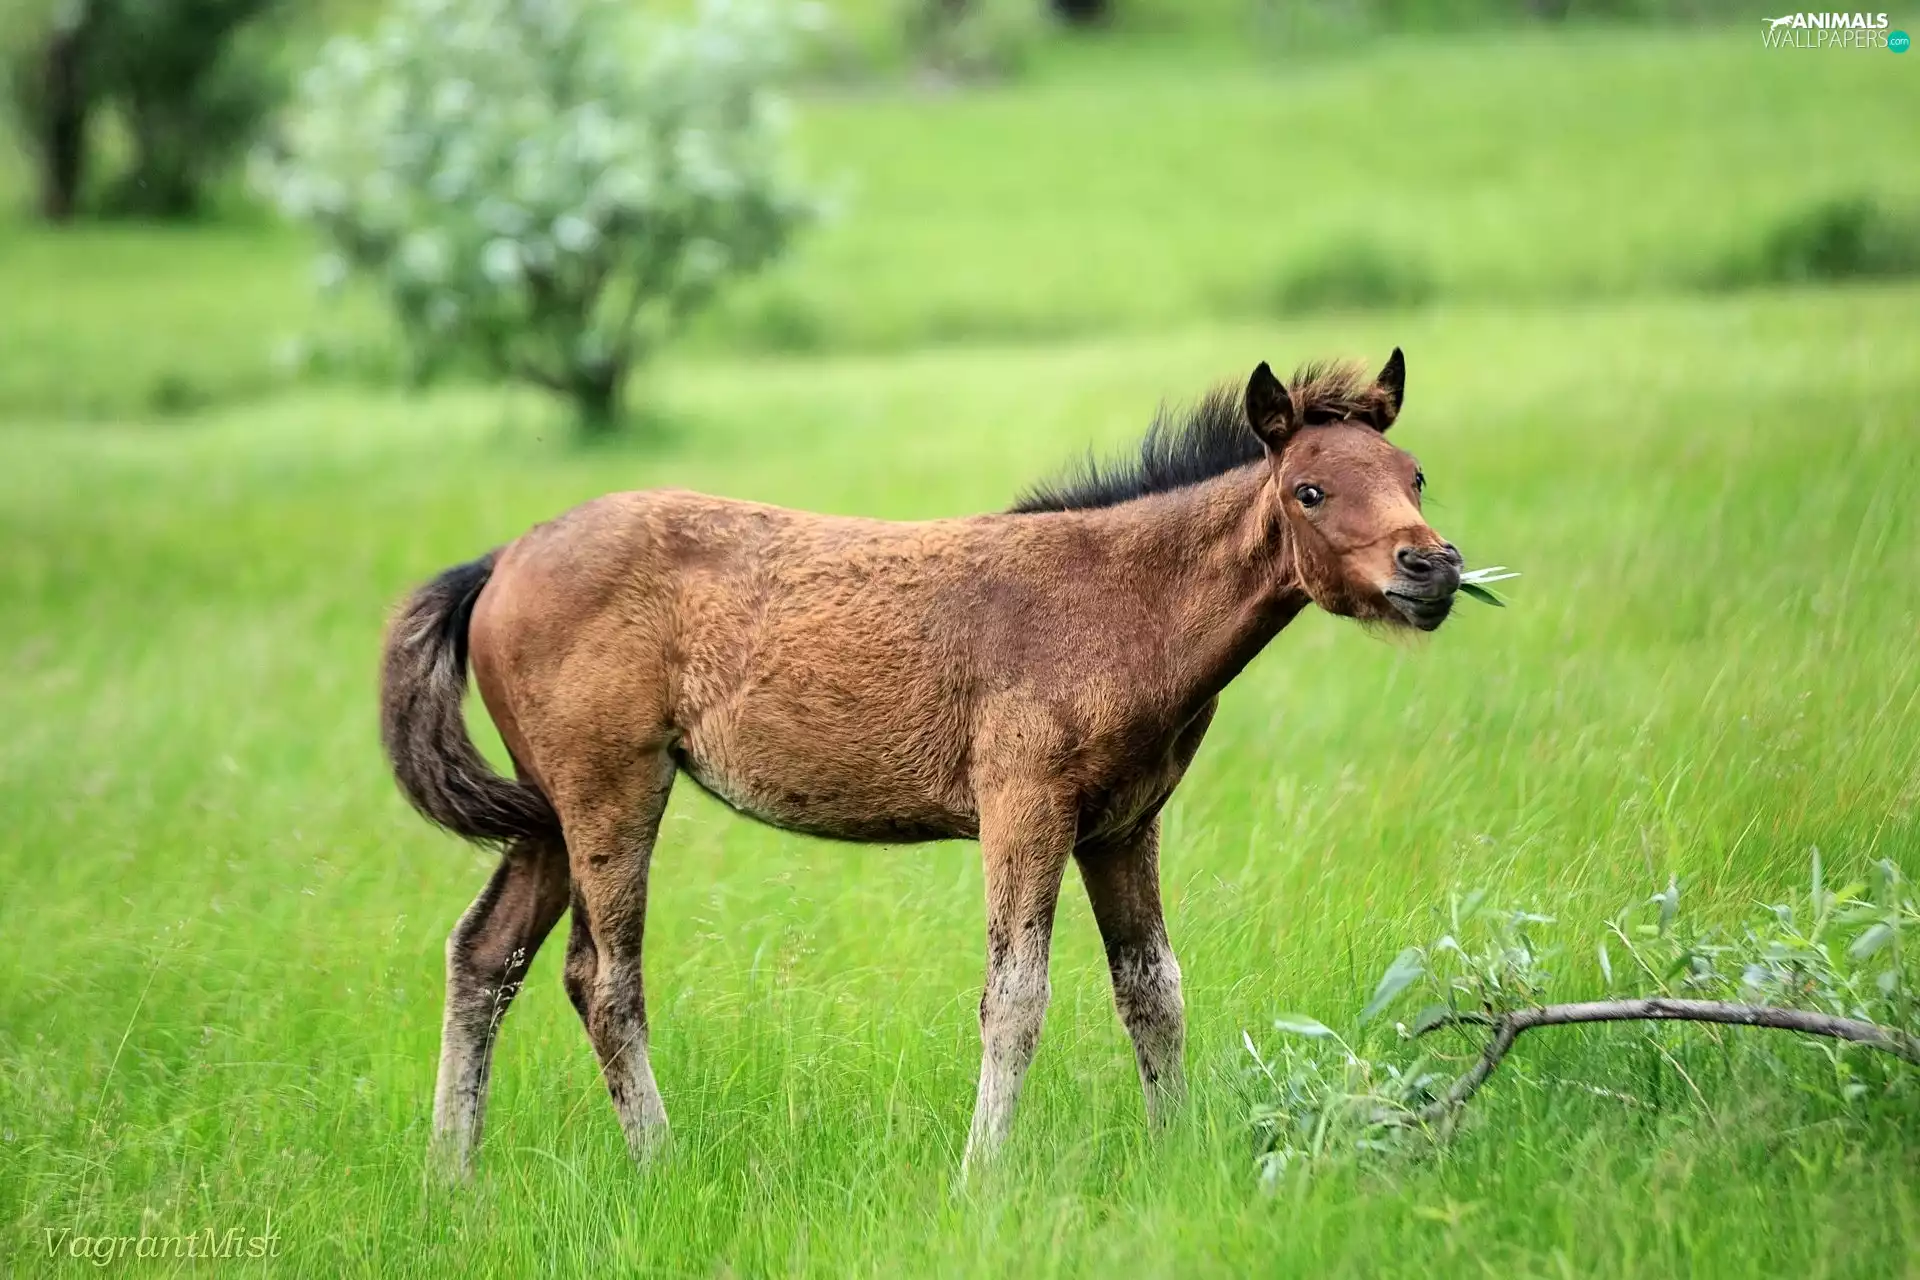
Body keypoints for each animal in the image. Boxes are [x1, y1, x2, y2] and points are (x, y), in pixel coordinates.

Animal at [379, 349, 1465, 1177]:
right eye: (1310, 490)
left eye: (1414, 475)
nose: (1433, 567)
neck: (1120, 605)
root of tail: (500, 560)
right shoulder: (1025, 806)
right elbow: (1015, 997)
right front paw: (981, 1176)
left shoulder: (1123, 824)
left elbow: (1154, 990)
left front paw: (1177, 1156)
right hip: (611, 790)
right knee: (602, 978)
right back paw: (659, 1162)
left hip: (548, 811)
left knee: (485, 954)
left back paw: (450, 1176)